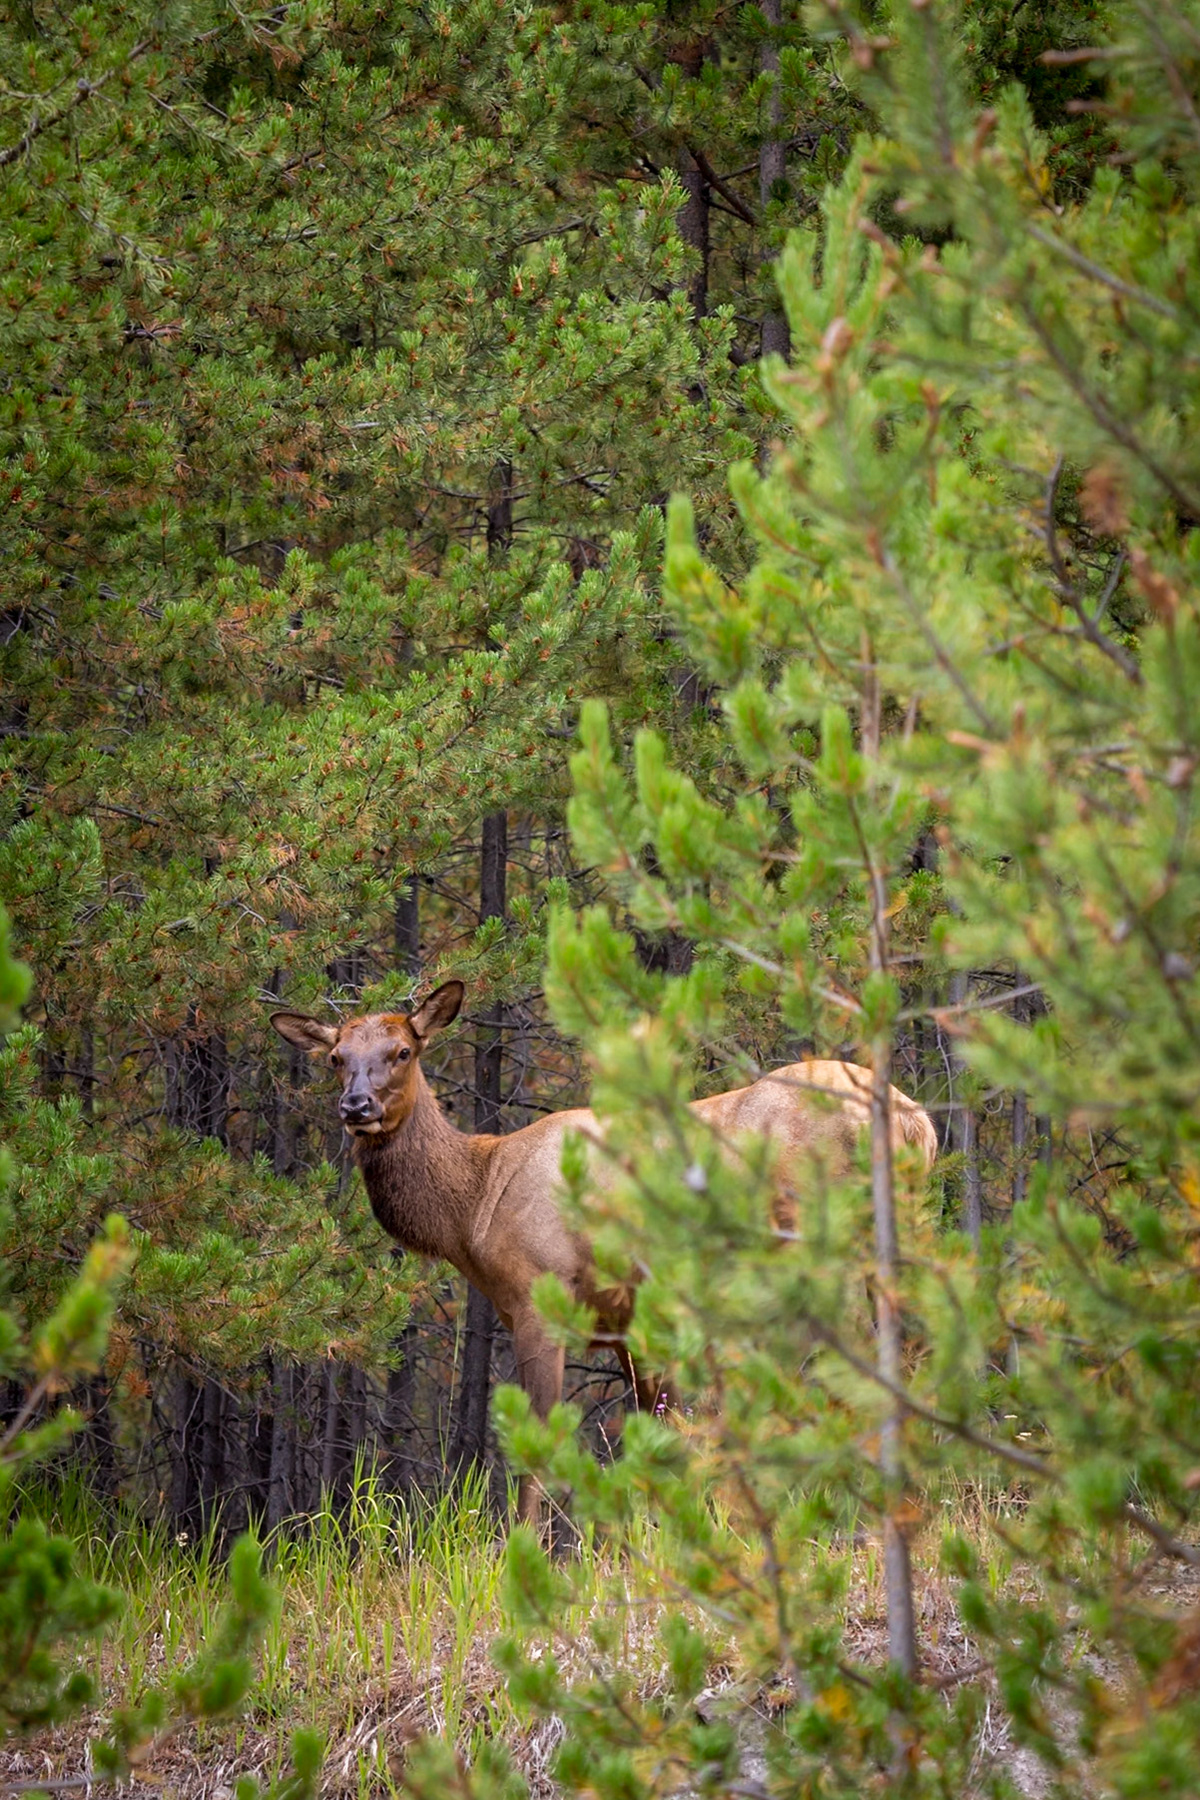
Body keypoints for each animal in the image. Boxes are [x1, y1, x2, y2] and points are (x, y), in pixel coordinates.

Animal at [271, 979, 937, 1524]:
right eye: (336, 1058)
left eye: (403, 1052)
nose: (356, 1106)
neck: (475, 1205)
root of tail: (916, 1121)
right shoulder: (628, 1322)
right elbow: (660, 1433)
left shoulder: (541, 1301)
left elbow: (542, 1444)